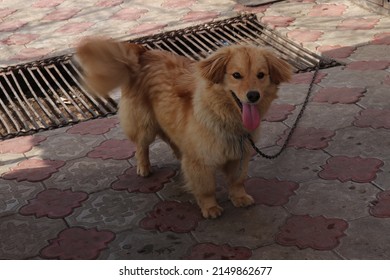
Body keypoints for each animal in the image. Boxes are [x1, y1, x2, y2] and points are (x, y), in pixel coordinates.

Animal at [77, 37, 290, 219]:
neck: (224, 116)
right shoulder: (201, 162)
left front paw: (238, 197)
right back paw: (144, 167)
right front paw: (210, 207)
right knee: (141, 146)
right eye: (236, 75)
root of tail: (144, 53)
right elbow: (206, 188)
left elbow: (237, 180)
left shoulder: (240, 155)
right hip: (145, 125)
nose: (253, 95)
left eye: (261, 75)